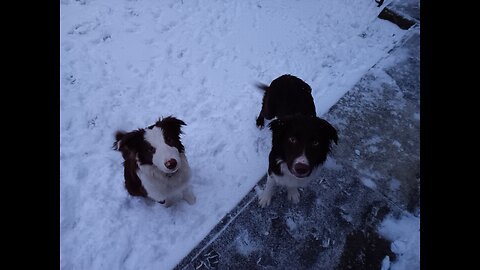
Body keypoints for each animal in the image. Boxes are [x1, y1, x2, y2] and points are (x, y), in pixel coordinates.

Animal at [255, 75, 338, 208]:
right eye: (292, 139)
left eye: (316, 143)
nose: (301, 168)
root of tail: (286, 76)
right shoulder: (272, 164)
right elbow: (270, 184)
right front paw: (265, 198)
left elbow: (293, 183)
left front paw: (292, 192)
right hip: (270, 110)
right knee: (263, 110)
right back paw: (259, 122)